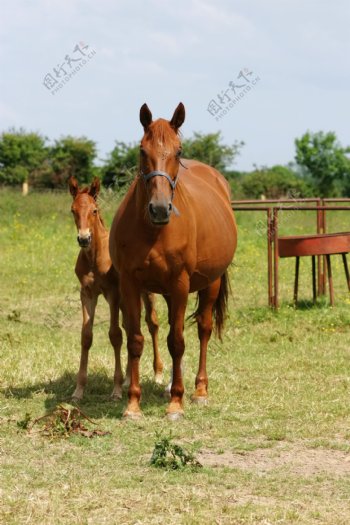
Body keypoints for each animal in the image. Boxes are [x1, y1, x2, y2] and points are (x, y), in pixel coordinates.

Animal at [68, 176, 164, 402]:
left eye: (94, 210)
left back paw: (157, 374)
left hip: (145, 293)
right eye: (73, 210)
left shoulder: (112, 293)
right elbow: (86, 336)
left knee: (152, 324)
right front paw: (79, 390)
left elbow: (115, 335)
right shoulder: (87, 293)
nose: (83, 238)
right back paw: (130, 378)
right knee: (131, 327)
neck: (94, 257)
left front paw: (117, 389)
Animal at [110, 104, 238, 420]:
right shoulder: (130, 283)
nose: (159, 208)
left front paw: (176, 404)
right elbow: (136, 339)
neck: (153, 230)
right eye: (142, 150)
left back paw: (199, 390)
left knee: (203, 328)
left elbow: (177, 342)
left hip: (210, 283)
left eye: (178, 151)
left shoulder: (180, 283)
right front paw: (133, 404)